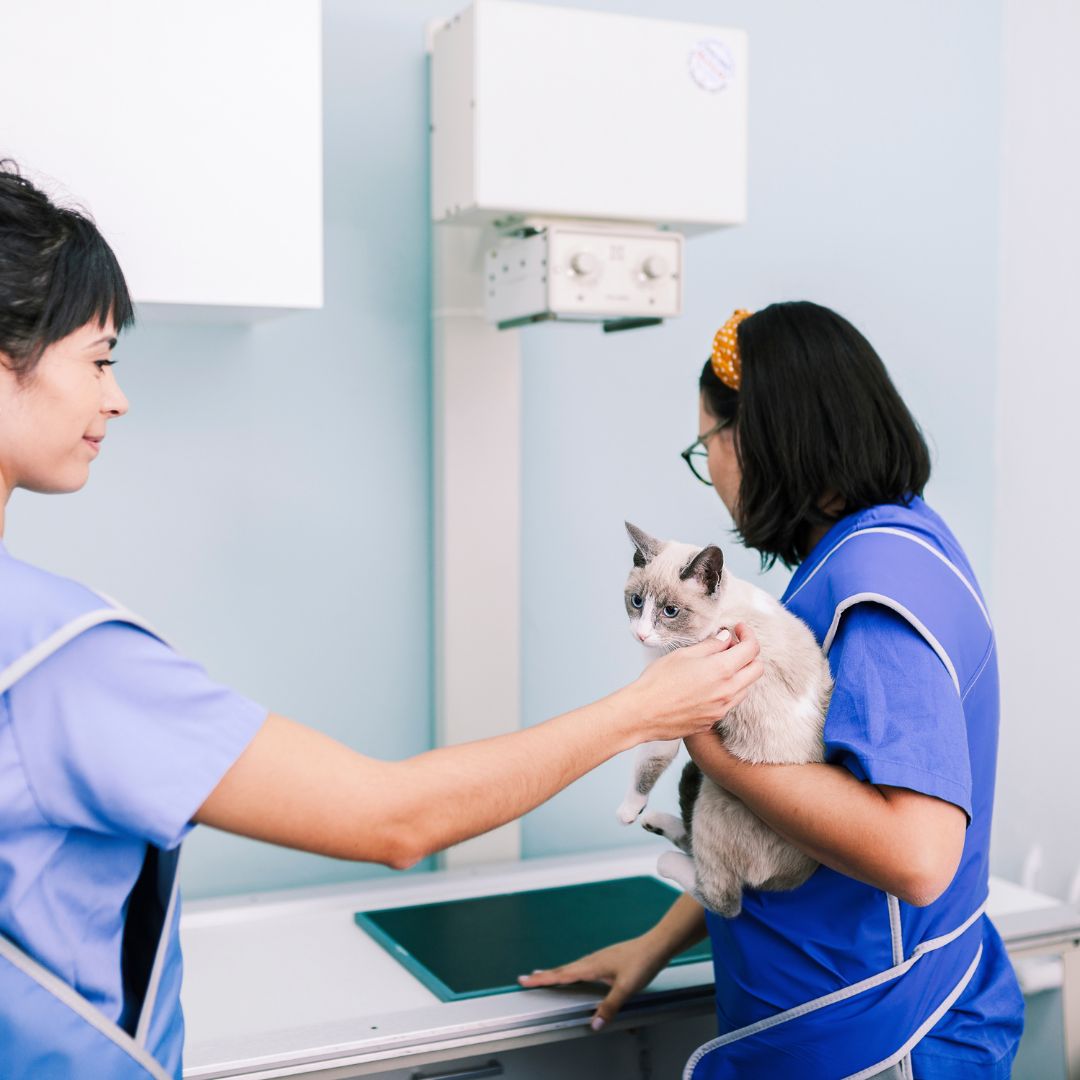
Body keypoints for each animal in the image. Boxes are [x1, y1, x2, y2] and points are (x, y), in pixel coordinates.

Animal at [617, 522, 833, 920]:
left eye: (671, 611)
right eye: (637, 602)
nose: (642, 634)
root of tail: (796, 879)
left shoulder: (669, 713)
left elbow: (646, 766)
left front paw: (627, 811)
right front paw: (635, 812)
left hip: (714, 795)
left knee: (724, 898)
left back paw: (664, 859)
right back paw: (656, 822)